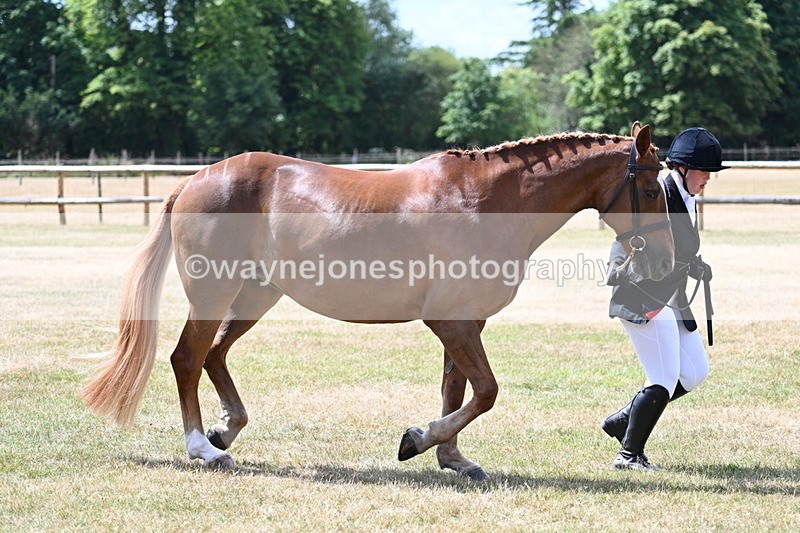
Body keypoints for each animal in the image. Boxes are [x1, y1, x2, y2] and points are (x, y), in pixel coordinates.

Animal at [82, 122, 674, 480]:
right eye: (651, 190)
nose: (666, 260)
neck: (486, 200)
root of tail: (194, 182)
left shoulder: (464, 323)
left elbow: (456, 388)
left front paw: (452, 457)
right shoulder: (449, 321)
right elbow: (485, 391)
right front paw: (417, 440)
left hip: (256, 293)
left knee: (214, 355)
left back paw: (226, 427)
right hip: (215, 291)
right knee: (187, 358)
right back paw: (204, 447)